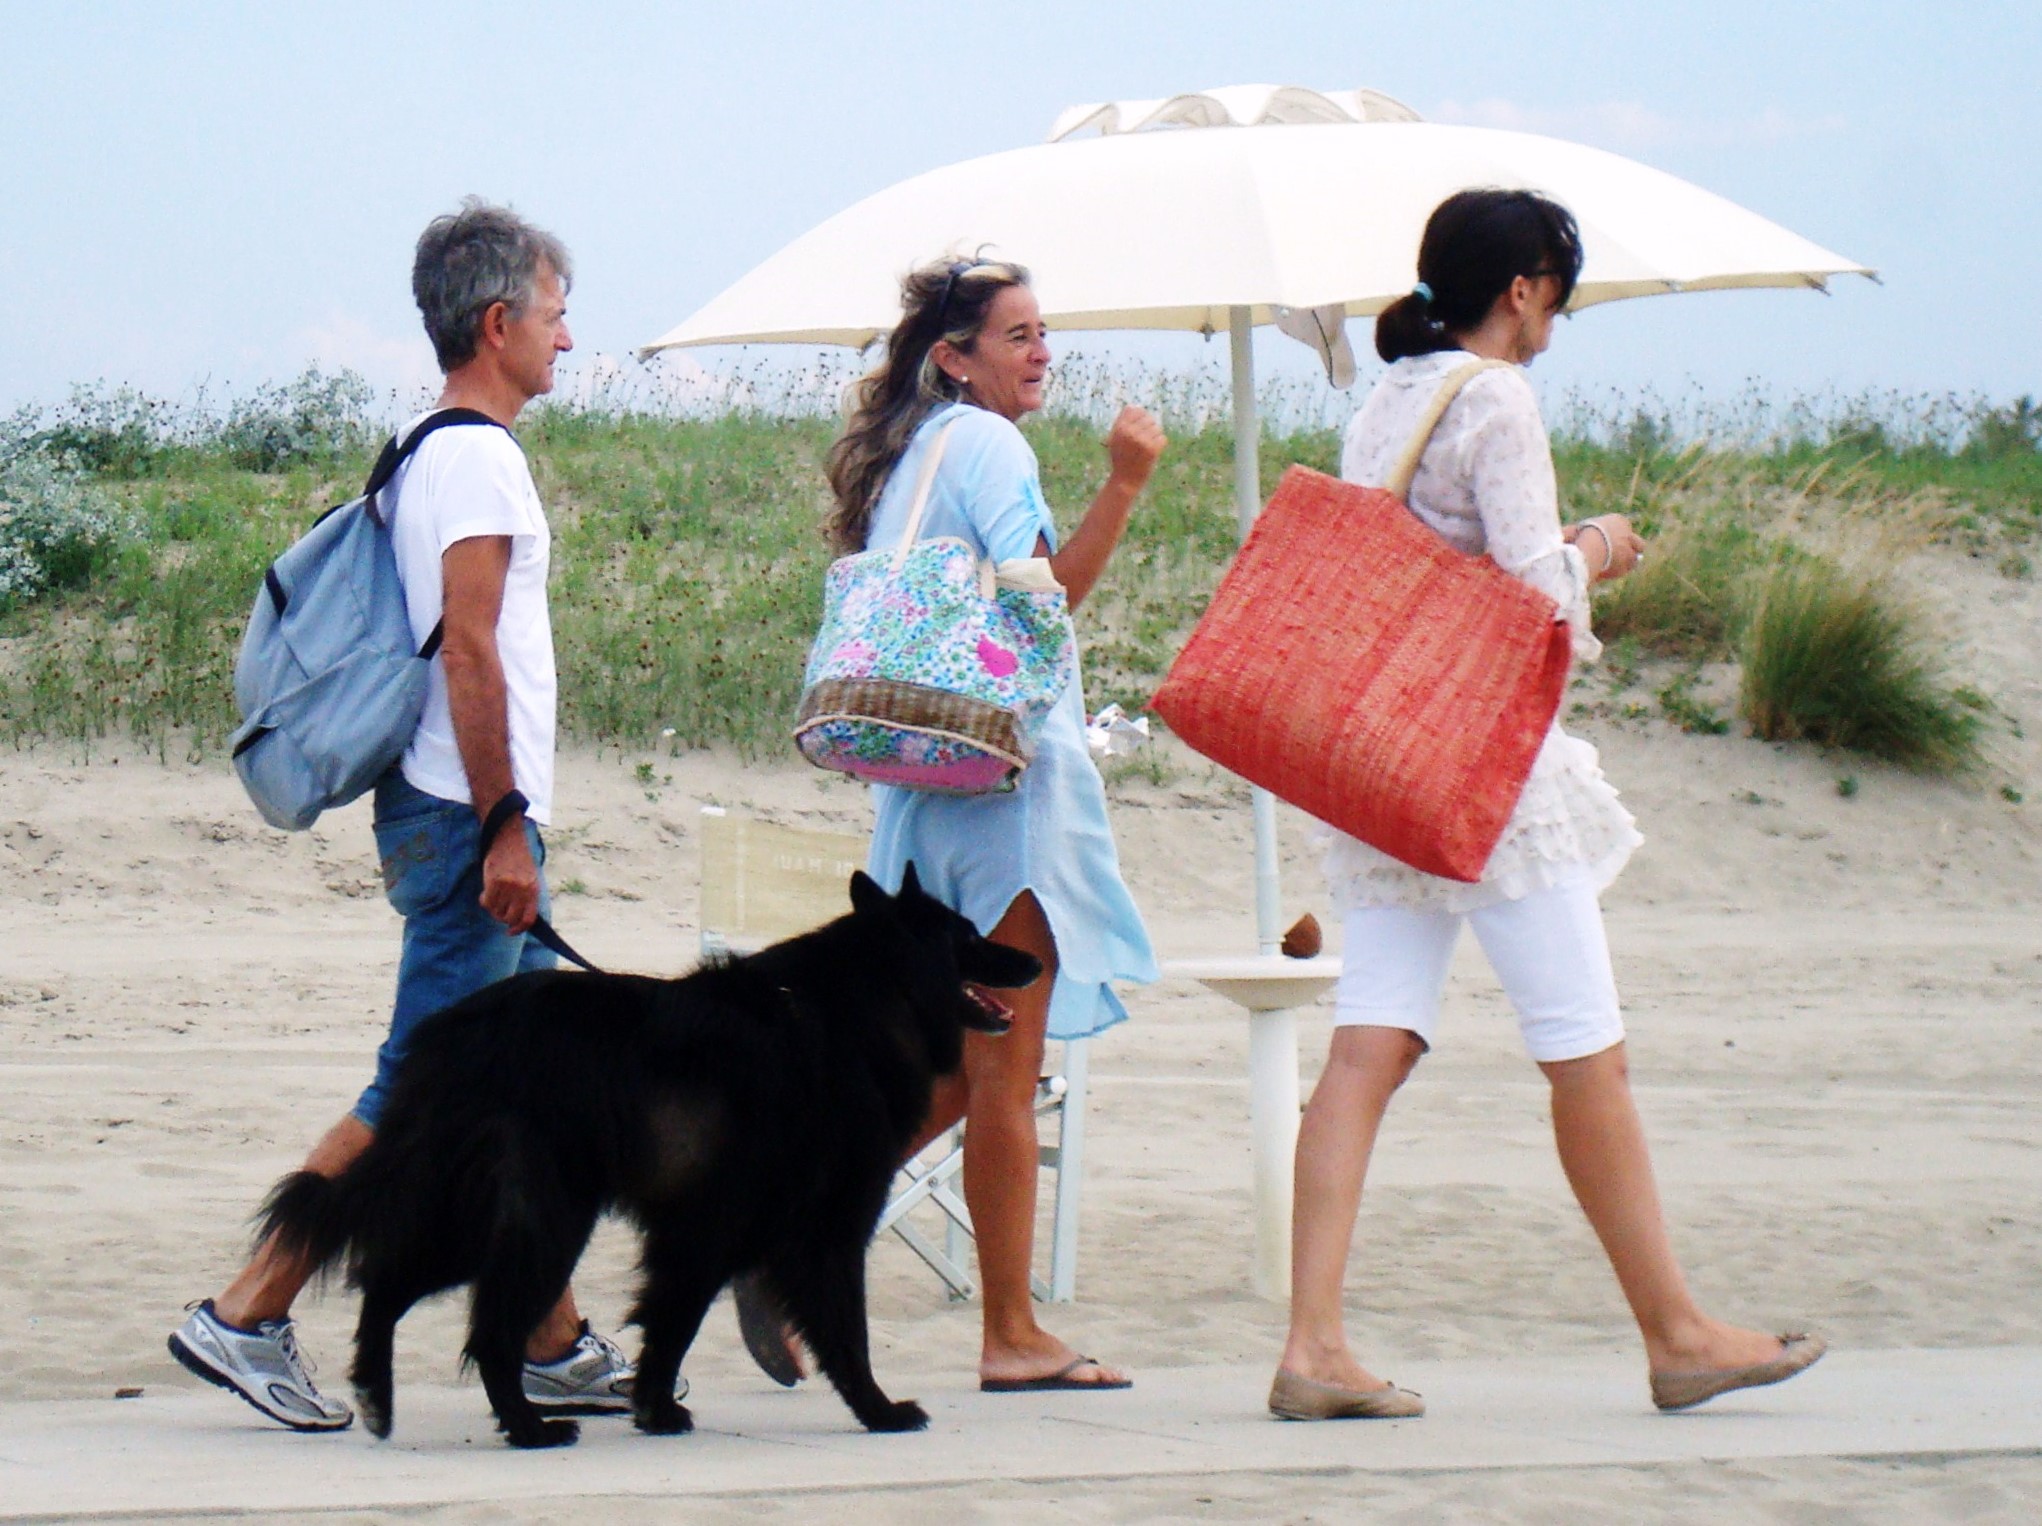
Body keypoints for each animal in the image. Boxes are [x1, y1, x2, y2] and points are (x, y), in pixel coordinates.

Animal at [258, 864, 1038, 1448]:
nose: (1034, 957)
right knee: (489, 1330)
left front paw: (655, 1411)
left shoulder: (702, 1231)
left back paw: (379, 1396)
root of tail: (452, 1040)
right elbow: (839, 1332)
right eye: (971, 935)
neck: (858, 1006)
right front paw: (880, 1411)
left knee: (388, 1285)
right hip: (545, 1220)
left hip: (475, 1217)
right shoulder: (809, 1228)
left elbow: (671, 1324)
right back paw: (528, 1428)